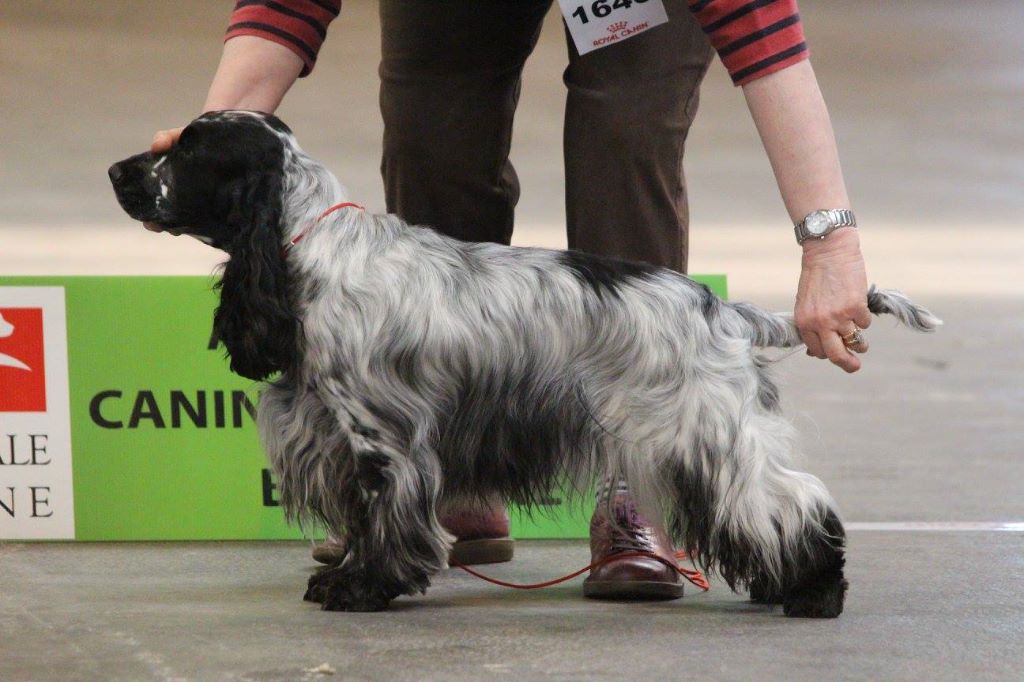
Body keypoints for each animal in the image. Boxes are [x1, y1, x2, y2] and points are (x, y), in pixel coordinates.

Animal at [108, 112, 937, 614]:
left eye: (188, 151)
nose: (118, 171)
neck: (307, 245)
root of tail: (720, 309)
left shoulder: (382, 437)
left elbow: (382, 515)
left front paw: (361, 586)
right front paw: (344, 576)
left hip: (701, 431)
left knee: (792, 501)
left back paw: (816, 592)